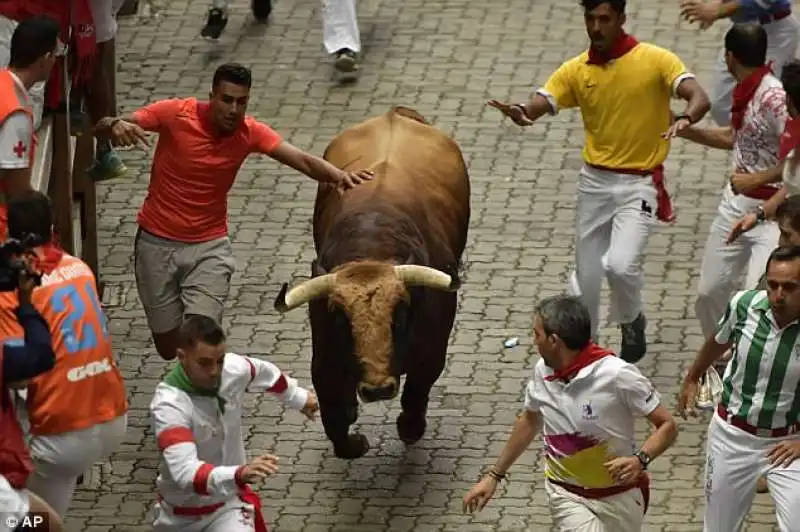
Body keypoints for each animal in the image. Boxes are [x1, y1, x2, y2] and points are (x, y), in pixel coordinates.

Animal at [276, 106, 468, 460]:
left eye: (400, 314)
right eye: (341, 318)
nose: (378, 389)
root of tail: (395, 114)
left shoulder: (432, 348)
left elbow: (417, 391)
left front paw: (410, 428)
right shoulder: (324, 357)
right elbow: (334, 417)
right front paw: (353, 438)